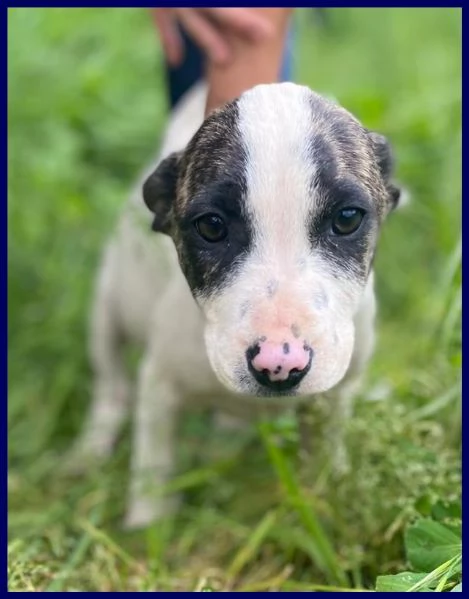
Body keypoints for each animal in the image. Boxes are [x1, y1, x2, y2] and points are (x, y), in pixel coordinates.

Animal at [67, 82, 400, 528]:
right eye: (211, 226)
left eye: (347, 218)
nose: (280, 364)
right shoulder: (159, 385)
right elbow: (154, 466)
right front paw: (147, 527)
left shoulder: (332, 398)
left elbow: (325, 462)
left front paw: (332, 507)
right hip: (107, 308)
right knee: (111, 383)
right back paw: (89, 449)